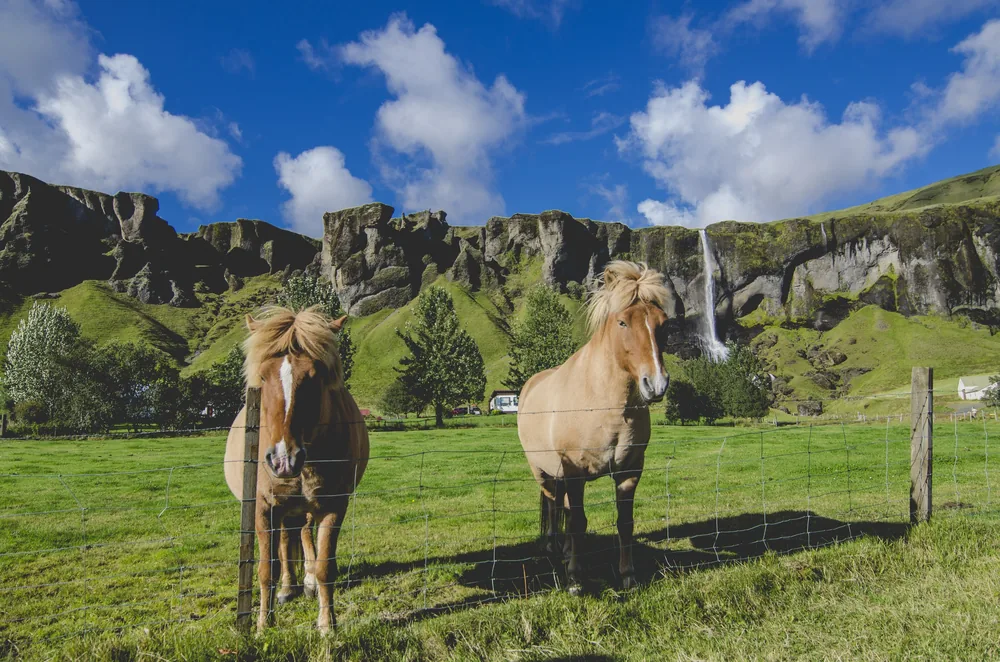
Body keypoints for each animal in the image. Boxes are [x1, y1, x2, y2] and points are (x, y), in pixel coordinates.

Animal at [224, 305, 369, 633]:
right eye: (263, 377)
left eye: (315, 377)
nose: (283, 460)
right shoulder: (263, 508)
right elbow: (267, 569)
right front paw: (263, 626)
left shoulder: (333, 506)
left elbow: (325, 566)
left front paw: (327, 625)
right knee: (286, 541)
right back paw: (288, 588)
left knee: (302, 535)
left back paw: (306, 583)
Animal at [517, 260, 673, 595]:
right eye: (622, 322)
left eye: (663, 324)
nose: (656, 384)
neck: (603, 405)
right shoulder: (574, 472)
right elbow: (578, 523)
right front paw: (576, 580)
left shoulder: (629, 472)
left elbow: (624, 523)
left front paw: (628, 576)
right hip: (543, 472)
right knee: (553, 505)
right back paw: (553, 547)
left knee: (561, 505)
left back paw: (564, 551)